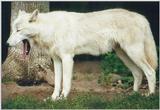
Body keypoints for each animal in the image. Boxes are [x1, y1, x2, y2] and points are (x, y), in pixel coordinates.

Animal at [7, 8, 158, 99]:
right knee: (138, 73)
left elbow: (66, 82)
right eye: (13, 29)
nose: (7, 44)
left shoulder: (67, 58)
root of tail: (142, 17)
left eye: (19, 30)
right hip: (124, 55)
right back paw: (133, 95)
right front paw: (53, 98)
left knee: (150, 71)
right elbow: (57, 82)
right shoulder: (56, 60)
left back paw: (150, 95)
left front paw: (63, 98)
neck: (51, 28)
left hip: (133, 53)